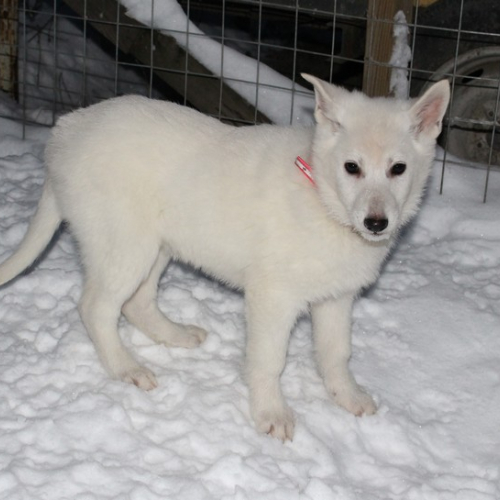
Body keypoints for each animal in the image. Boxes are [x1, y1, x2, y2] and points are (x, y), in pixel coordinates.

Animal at [0, 75, 450, 442]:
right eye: (351, 167)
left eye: (398, 169)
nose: (376, 223)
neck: (323, 198)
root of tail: (64, 132)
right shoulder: (273, 296)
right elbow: (270, 360)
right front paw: (271, 415)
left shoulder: (336, 297)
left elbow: (336, 353)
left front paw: (349, 397)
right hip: (124, 243)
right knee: (96, 307)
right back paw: (127, 369)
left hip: (157, 244)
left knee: (136, 302)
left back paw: (176, 335)